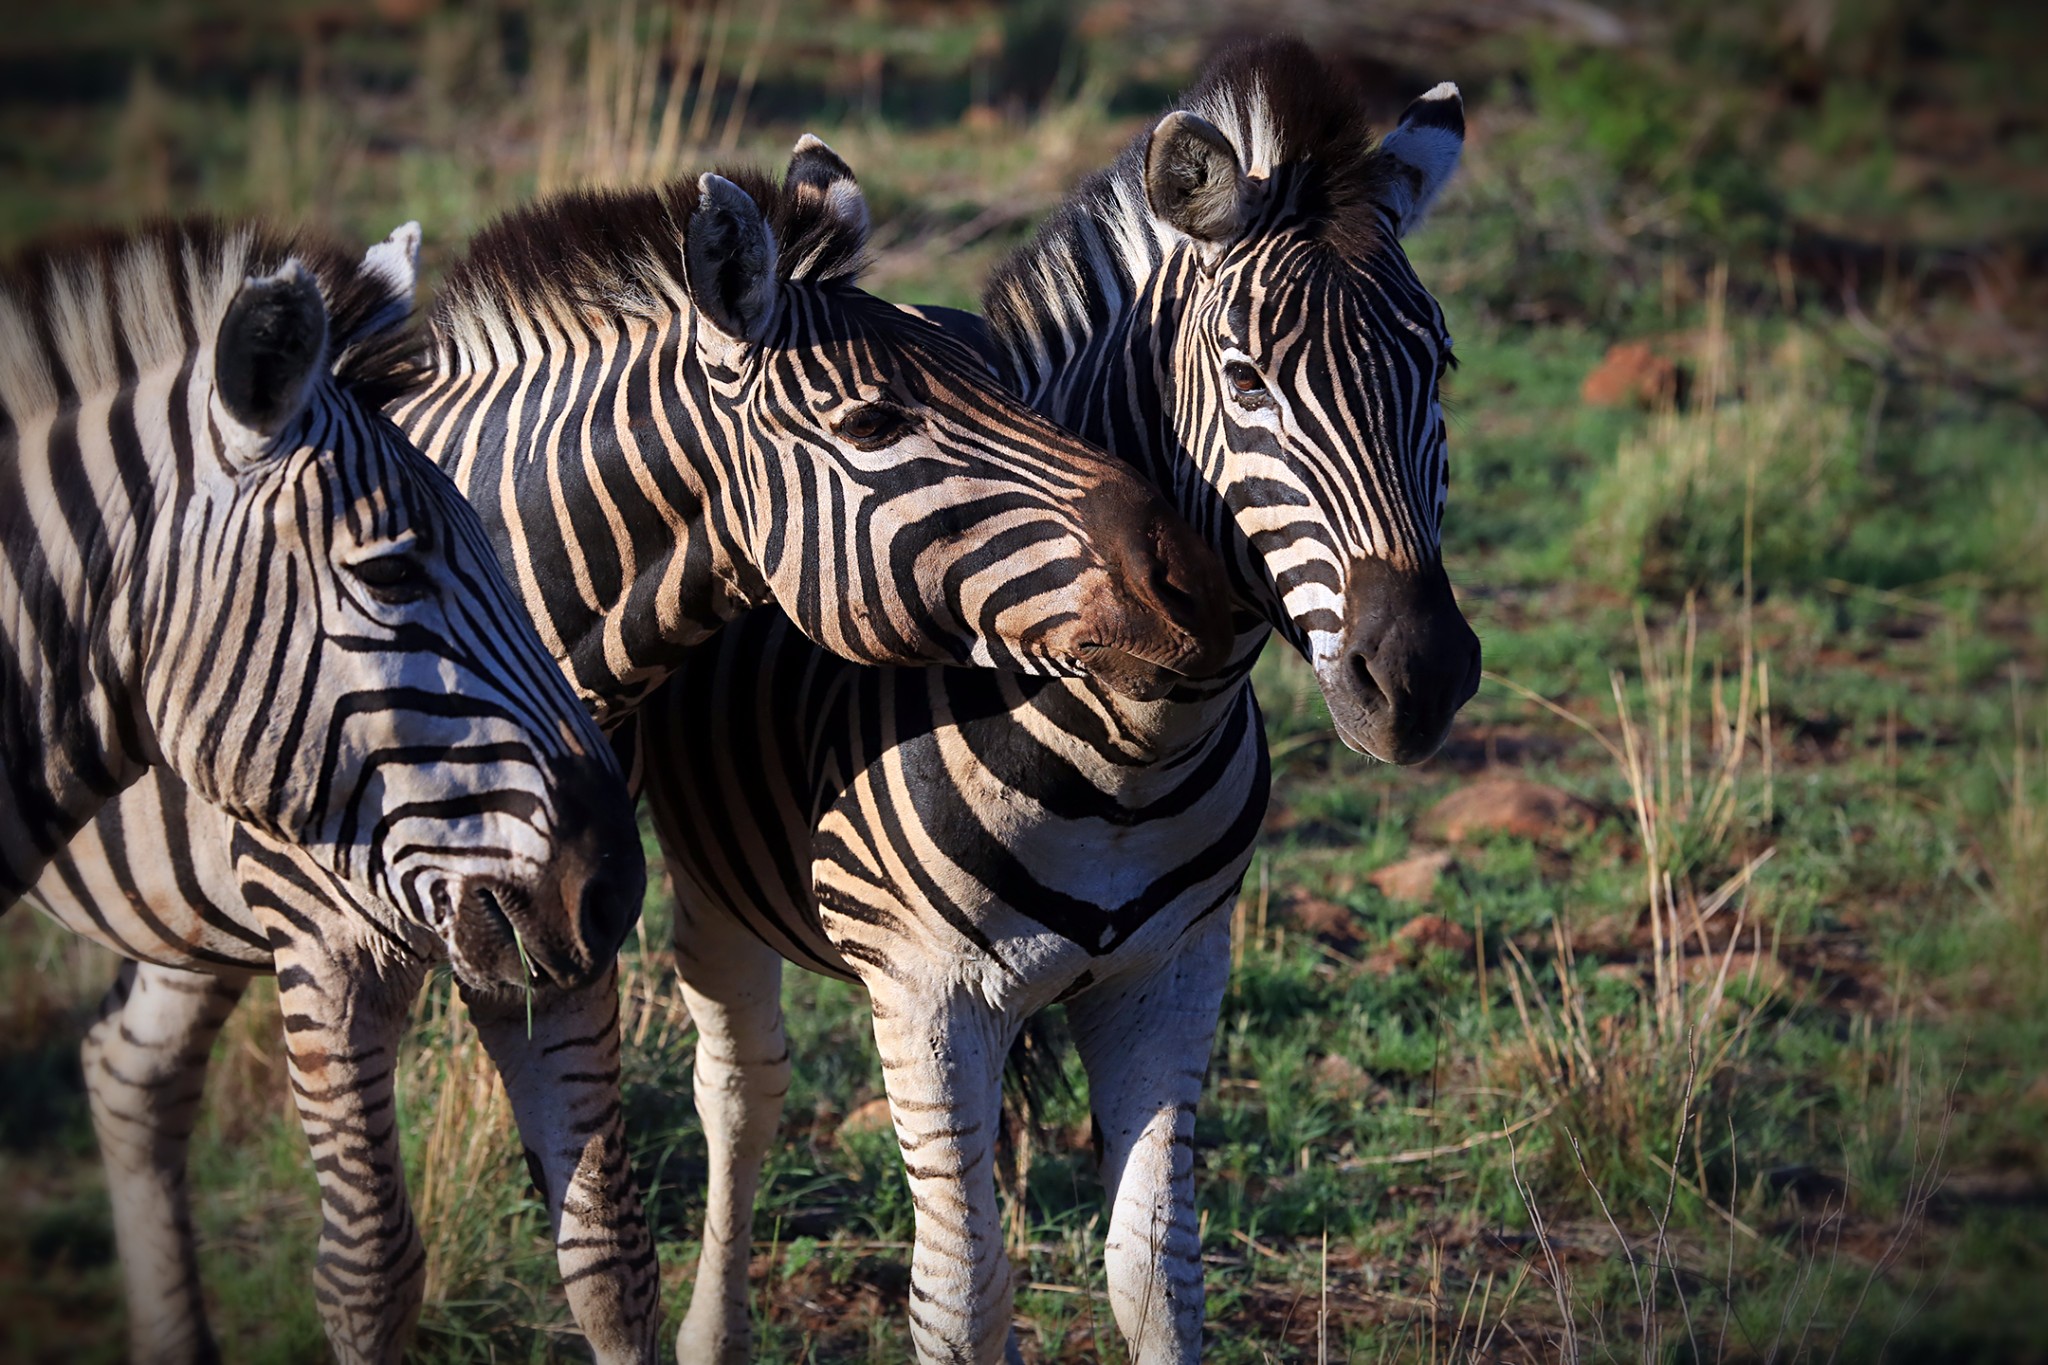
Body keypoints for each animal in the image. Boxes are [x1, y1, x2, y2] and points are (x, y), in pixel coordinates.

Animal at [28, 136, 1228, 1365]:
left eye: (1006, 380)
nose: (1191, 576)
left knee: (127, 1075)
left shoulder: (557, 928)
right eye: (873, 424)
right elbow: (368, 1276)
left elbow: (606, 1256)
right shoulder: (329, 952)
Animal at [634, 42, 1474, 1365]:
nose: (1419, 677)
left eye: (1436, 366)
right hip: (712, 879)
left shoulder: (1172, 979)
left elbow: (1154, 1273)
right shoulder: (925, 999)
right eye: (1246, 380)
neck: (1131, 747)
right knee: (740, 1094)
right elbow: (961, 1297)